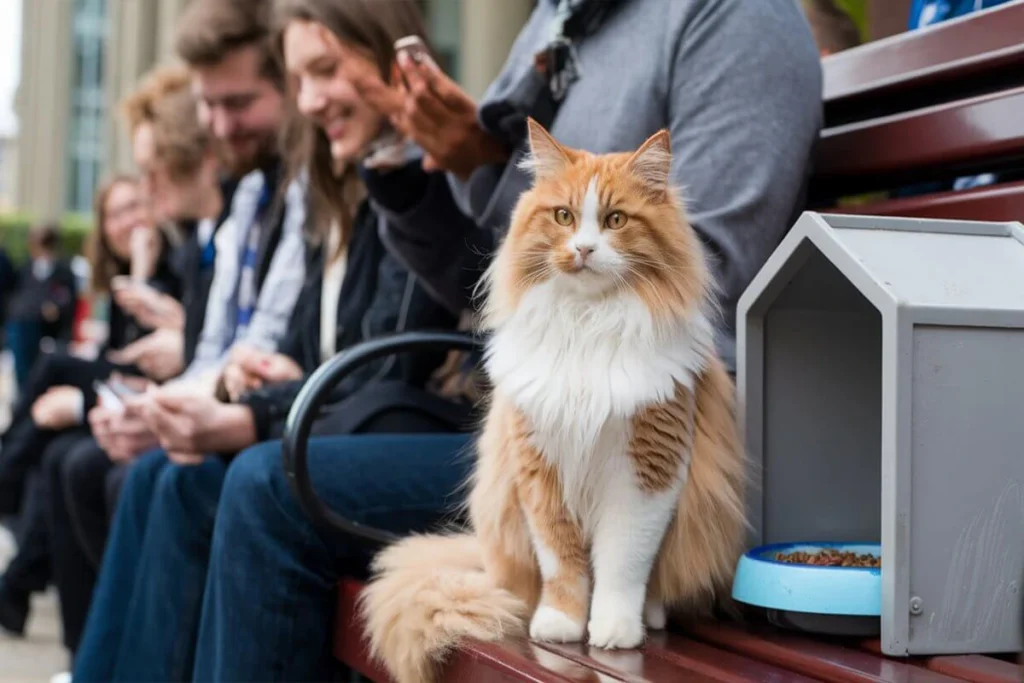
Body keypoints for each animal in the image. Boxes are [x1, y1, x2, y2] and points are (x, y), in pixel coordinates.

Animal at [360, 120, 745, 679]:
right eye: (564, 216)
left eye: (614, 220)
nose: (583, 250)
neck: (588, 324)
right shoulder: (539, 468)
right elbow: (562, 562)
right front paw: (561, 623)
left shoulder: (646, 472)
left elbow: (621, 563)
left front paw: (613, 631)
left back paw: (649, 618)